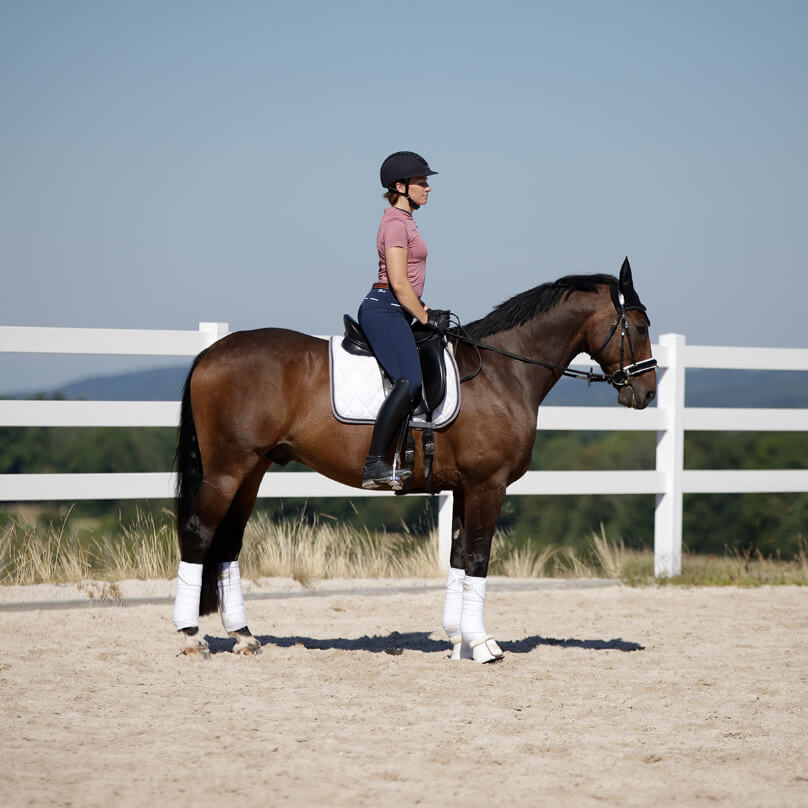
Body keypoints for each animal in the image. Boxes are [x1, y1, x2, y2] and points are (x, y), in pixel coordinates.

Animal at [172, 258, 656, 664]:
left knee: (229, 543)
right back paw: (191, 637)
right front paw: (483, 646)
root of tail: (211, 353)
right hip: (228, 470)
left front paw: (458, 641)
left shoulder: (465, 487)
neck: (502, 372)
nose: (647, 392)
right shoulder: (488, 485)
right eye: (638, 325)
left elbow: (459, 558)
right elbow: (478, 558)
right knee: (199, 533)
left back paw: (244, 637)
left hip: (252, 470)